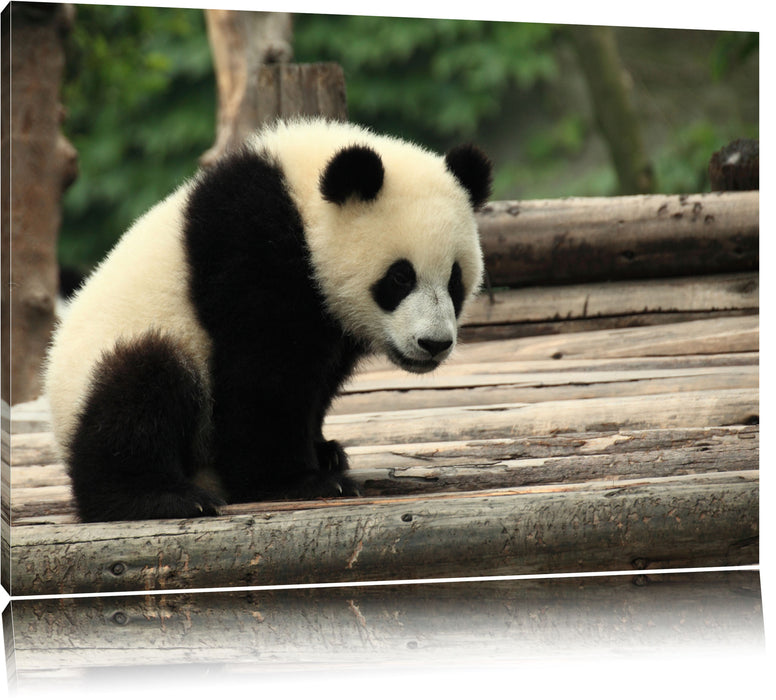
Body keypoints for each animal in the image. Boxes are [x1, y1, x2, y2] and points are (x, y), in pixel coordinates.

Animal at [44, 118, 492, 522]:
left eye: (455, 280)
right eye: (400, 277)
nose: (433, 344)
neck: (302, 201)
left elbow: (316, 378)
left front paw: (324, 451)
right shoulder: (250, 249)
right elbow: (264, 373)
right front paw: (299, 481)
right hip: (122, 356)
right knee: (141, 388)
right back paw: (159, 497)